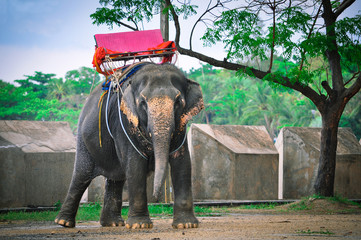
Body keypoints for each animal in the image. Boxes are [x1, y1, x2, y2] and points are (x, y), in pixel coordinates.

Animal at [54, 62, 204, 229]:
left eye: (178, 102)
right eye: (143, 103)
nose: (157, 196)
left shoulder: (182, 125)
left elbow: (182, 162)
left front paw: (186, 225)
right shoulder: (123, 123)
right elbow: (135, 164)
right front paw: (140, 225)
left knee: (116, 177)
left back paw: (112, 223)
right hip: (82, 138)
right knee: (82, 175)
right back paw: (64, 222)